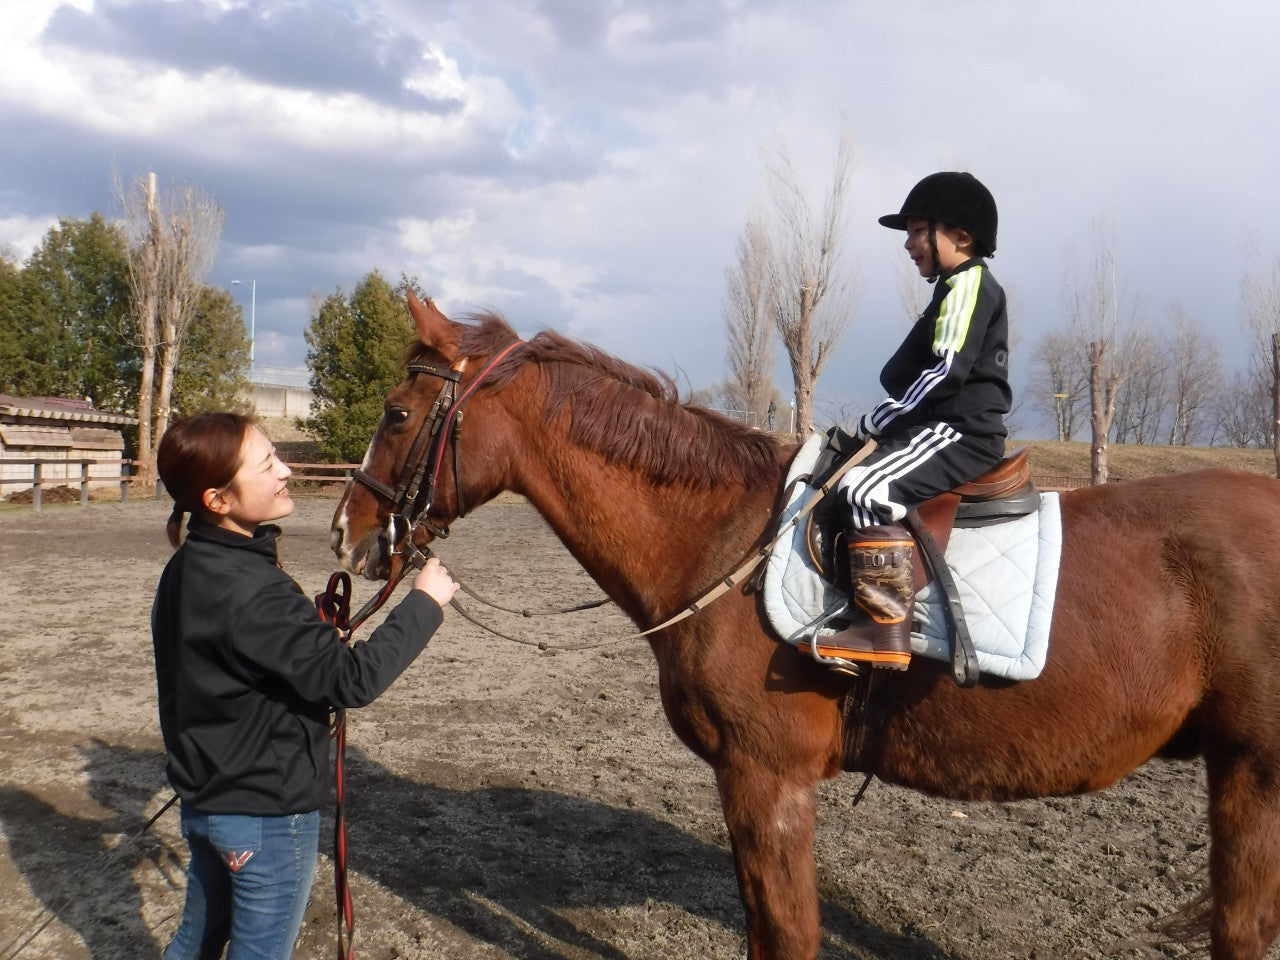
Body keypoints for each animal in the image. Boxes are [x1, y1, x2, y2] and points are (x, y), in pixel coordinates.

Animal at [332, 295, 1280, 960]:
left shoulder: (768, 776)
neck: (722, 539)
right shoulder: (746, 782)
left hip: (1252, 773)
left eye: (397, 415)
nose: (349, 534)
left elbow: (788, 935)